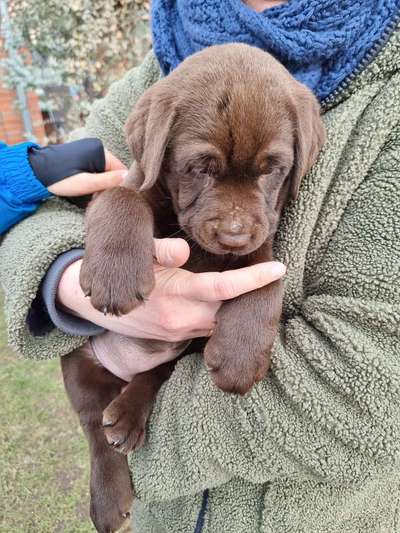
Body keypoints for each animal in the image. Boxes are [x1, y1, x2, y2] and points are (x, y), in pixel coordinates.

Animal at [61, 43, 324, 528]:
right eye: (200, 168)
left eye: (272, 170)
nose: (234, 235)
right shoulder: (133, 180)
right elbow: (120, 197)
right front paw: (115, 279)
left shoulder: (262, 237)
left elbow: (266, 279)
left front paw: (240, 359)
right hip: (77, 362)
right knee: (93, 427)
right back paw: (108, 497)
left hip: (183, 352)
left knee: (153, 376)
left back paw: (127, 416)